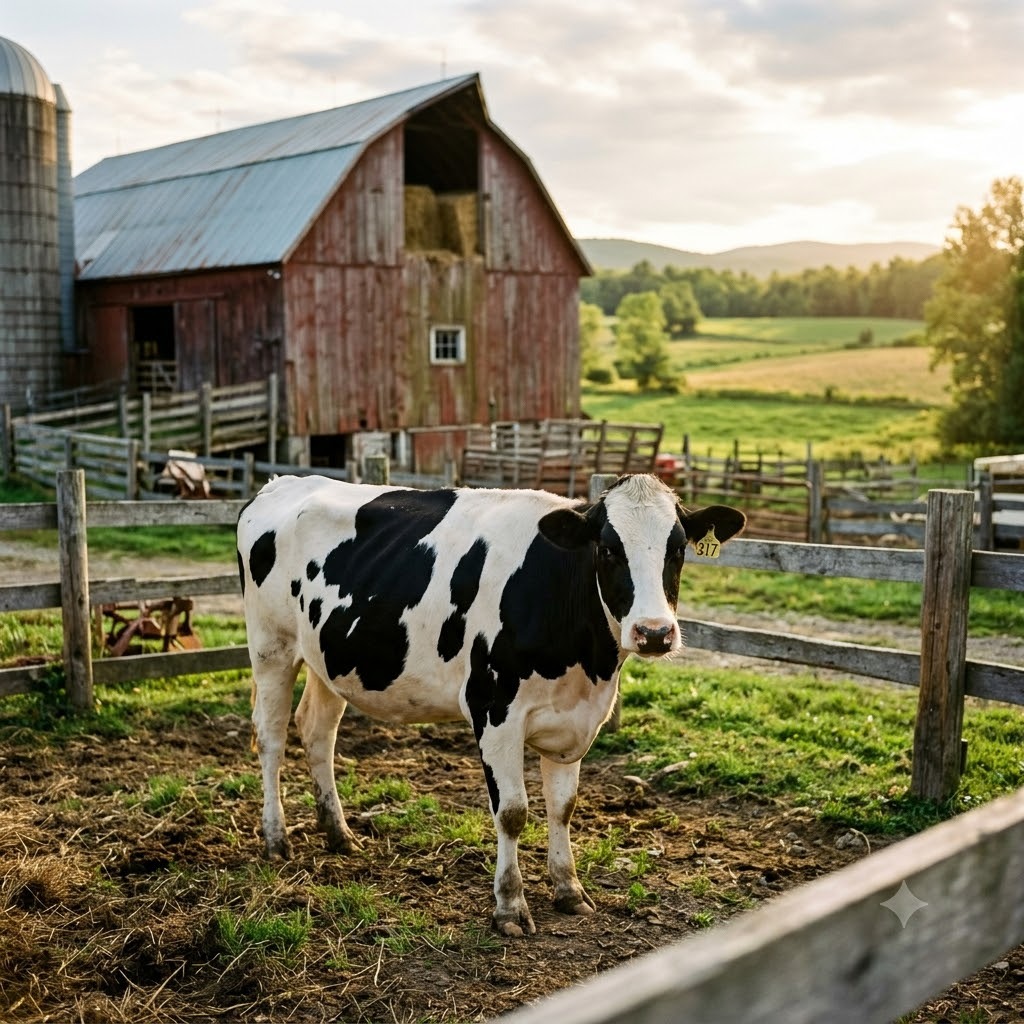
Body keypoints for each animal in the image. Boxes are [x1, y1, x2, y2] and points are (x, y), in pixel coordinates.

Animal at [236, 473, 745, 937]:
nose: (654, 633)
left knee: (317, 732)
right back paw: (276, 838)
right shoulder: (495, 711)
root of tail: (281, 482)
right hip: (271, 647)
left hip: (329, 658)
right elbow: (513, 812)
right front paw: (510, 907)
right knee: (272, 737)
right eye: (607, 550)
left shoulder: (574, 719)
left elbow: (564, 806)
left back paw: (339, 834)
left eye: (677, 550)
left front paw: (569, 890)